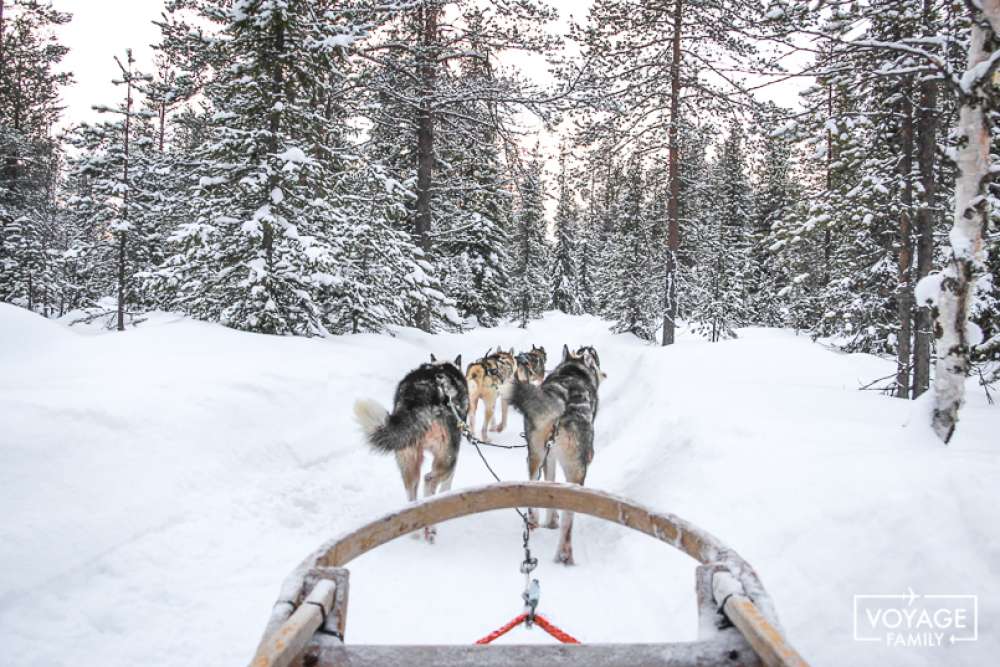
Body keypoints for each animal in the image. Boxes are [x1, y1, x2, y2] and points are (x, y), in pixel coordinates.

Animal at [356, 354, 468, 544]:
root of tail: (422, 394)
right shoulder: (453, 458)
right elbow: (447, 487)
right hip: (446, 457)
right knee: (429, 481)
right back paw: (431, 528)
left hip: (408, 458)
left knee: (412, 494)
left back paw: (415, 529)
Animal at [512, 348, 604, 568]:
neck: (572, 371)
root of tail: (563, 399)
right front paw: (552, 520)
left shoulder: (548, 458)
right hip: (572, 467)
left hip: (537, 454)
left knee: (535, 485)